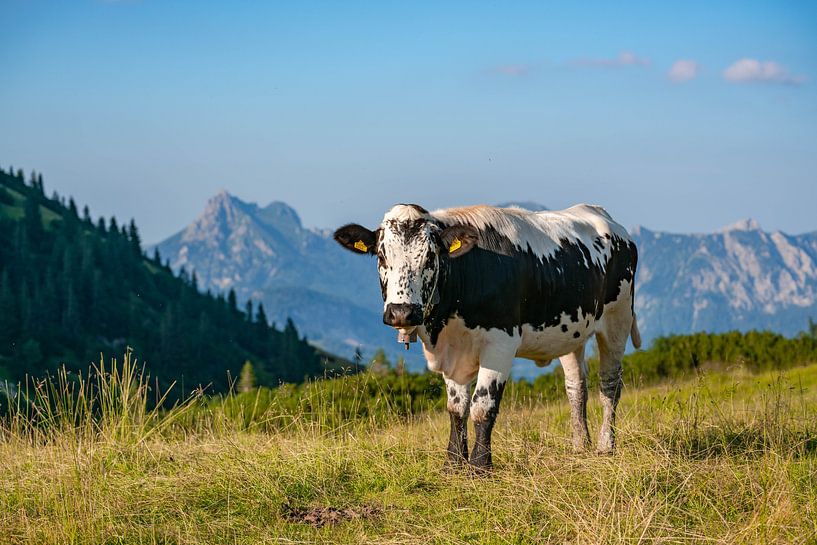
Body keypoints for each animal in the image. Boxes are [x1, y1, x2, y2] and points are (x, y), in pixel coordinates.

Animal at [334, 203, 641, 471]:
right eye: (382, 256)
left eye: (430, 258)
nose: (401, 312)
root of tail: (602, 215)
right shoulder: (453, 354)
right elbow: (456, 408)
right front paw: (453, 464)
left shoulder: (500, 344)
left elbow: (483, 406)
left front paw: (480, 466)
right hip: (571, 333)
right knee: (576, 387)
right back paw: (579, 446)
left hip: (618, 320)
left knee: (610, 385)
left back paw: (605, 446)